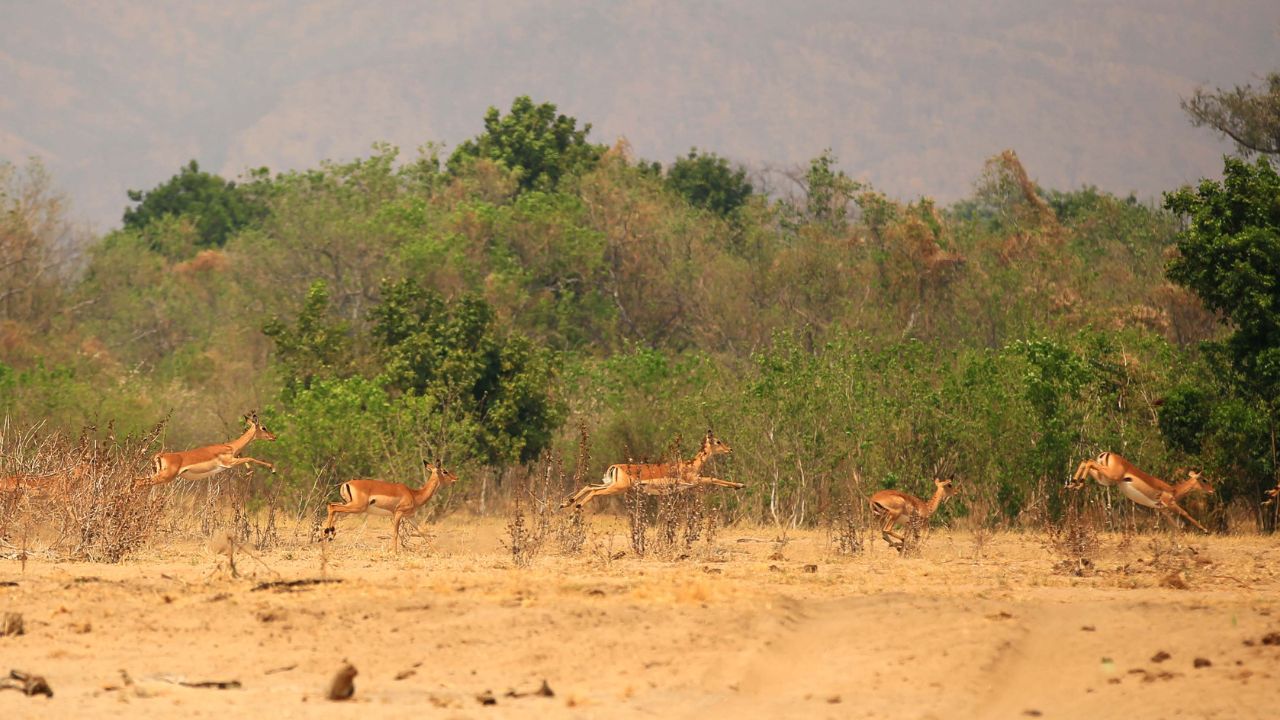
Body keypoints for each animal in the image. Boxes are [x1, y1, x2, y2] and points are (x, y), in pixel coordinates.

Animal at [139, 411, 276, 487]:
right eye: (264, 427)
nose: (274, 437)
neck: (231, 446)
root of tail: (159, 456)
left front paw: (249, 472)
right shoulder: (229, 463)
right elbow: (250, 457)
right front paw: (272, 469)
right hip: (164, 477)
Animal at [323, 459, 459, 552]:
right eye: (445, 471)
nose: (456, 478)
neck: (414, 494)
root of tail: (346, 483)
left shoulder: (410, 516)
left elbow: (422, 532)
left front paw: (437, 551)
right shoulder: (398, 513)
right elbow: (395, 533)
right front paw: (394, 552)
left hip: (348, 506)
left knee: (332, 507)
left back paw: (327, 537)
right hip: (356, 507)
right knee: (332, 507)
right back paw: (325, 537)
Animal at [559, 430, 741, 509]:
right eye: (718, 441)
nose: (730, 449)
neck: (690, 465)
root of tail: (615, 467)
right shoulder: (694, 481)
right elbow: (712, 479)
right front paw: (740, 485)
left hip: (611, 485)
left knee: (590, 486)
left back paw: (566, 503)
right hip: (617, 488)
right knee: (594, 491)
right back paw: (576, 506)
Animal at [1070, 452, 1214, 533]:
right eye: (1204, 479)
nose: (1212, 490)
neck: (1173, 490)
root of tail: (1105, 454)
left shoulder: (1162, 510)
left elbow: (1176, 526)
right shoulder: (1170, 504)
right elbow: (1185, 513)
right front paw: (1205, 530)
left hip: (1104, 479)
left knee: (1085, 461)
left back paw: (1074, 484)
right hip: (1109, 475)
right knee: (1088, 461)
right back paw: (1077, 482)